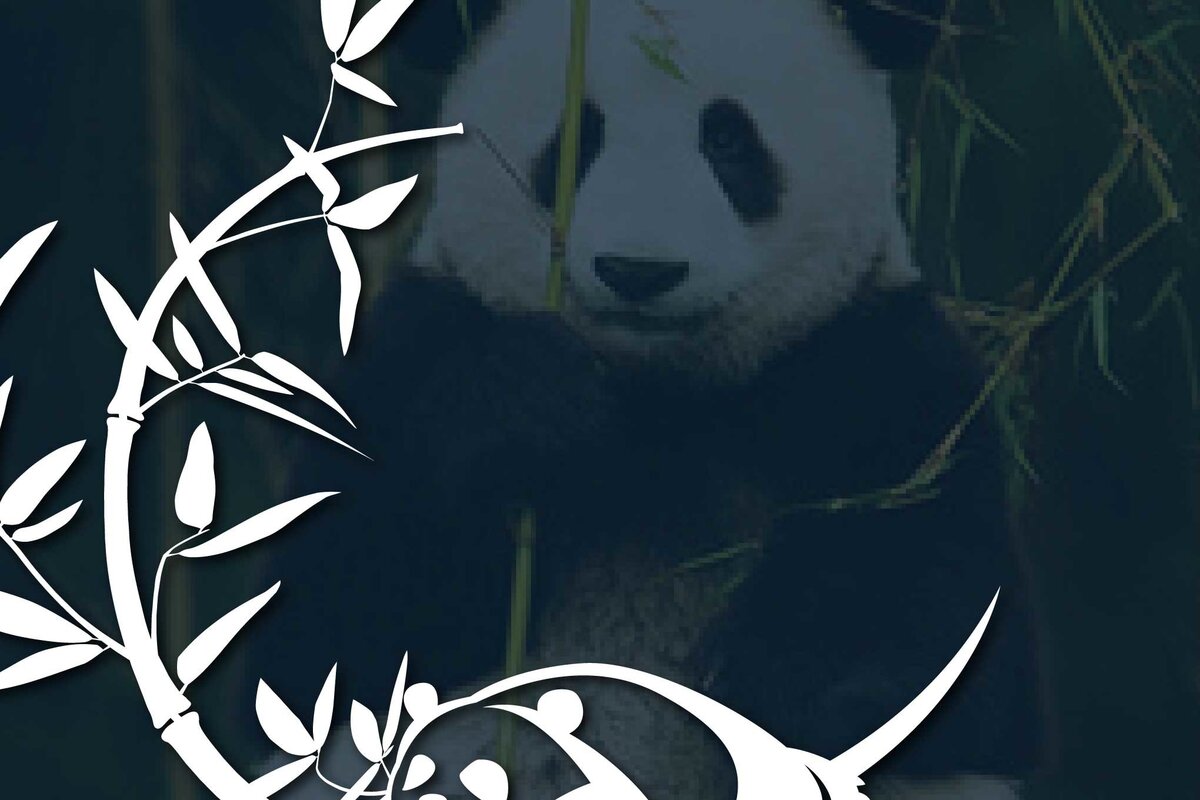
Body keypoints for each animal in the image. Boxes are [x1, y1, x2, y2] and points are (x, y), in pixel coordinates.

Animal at [254, 1, 1041, 798]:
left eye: (727, 137)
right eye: (580, 135)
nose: (639, 270)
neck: (660, 402)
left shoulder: (885, 377)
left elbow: (948, 651)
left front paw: (778, 663)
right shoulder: (411, 353)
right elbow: (326, 635)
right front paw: (527, 405)